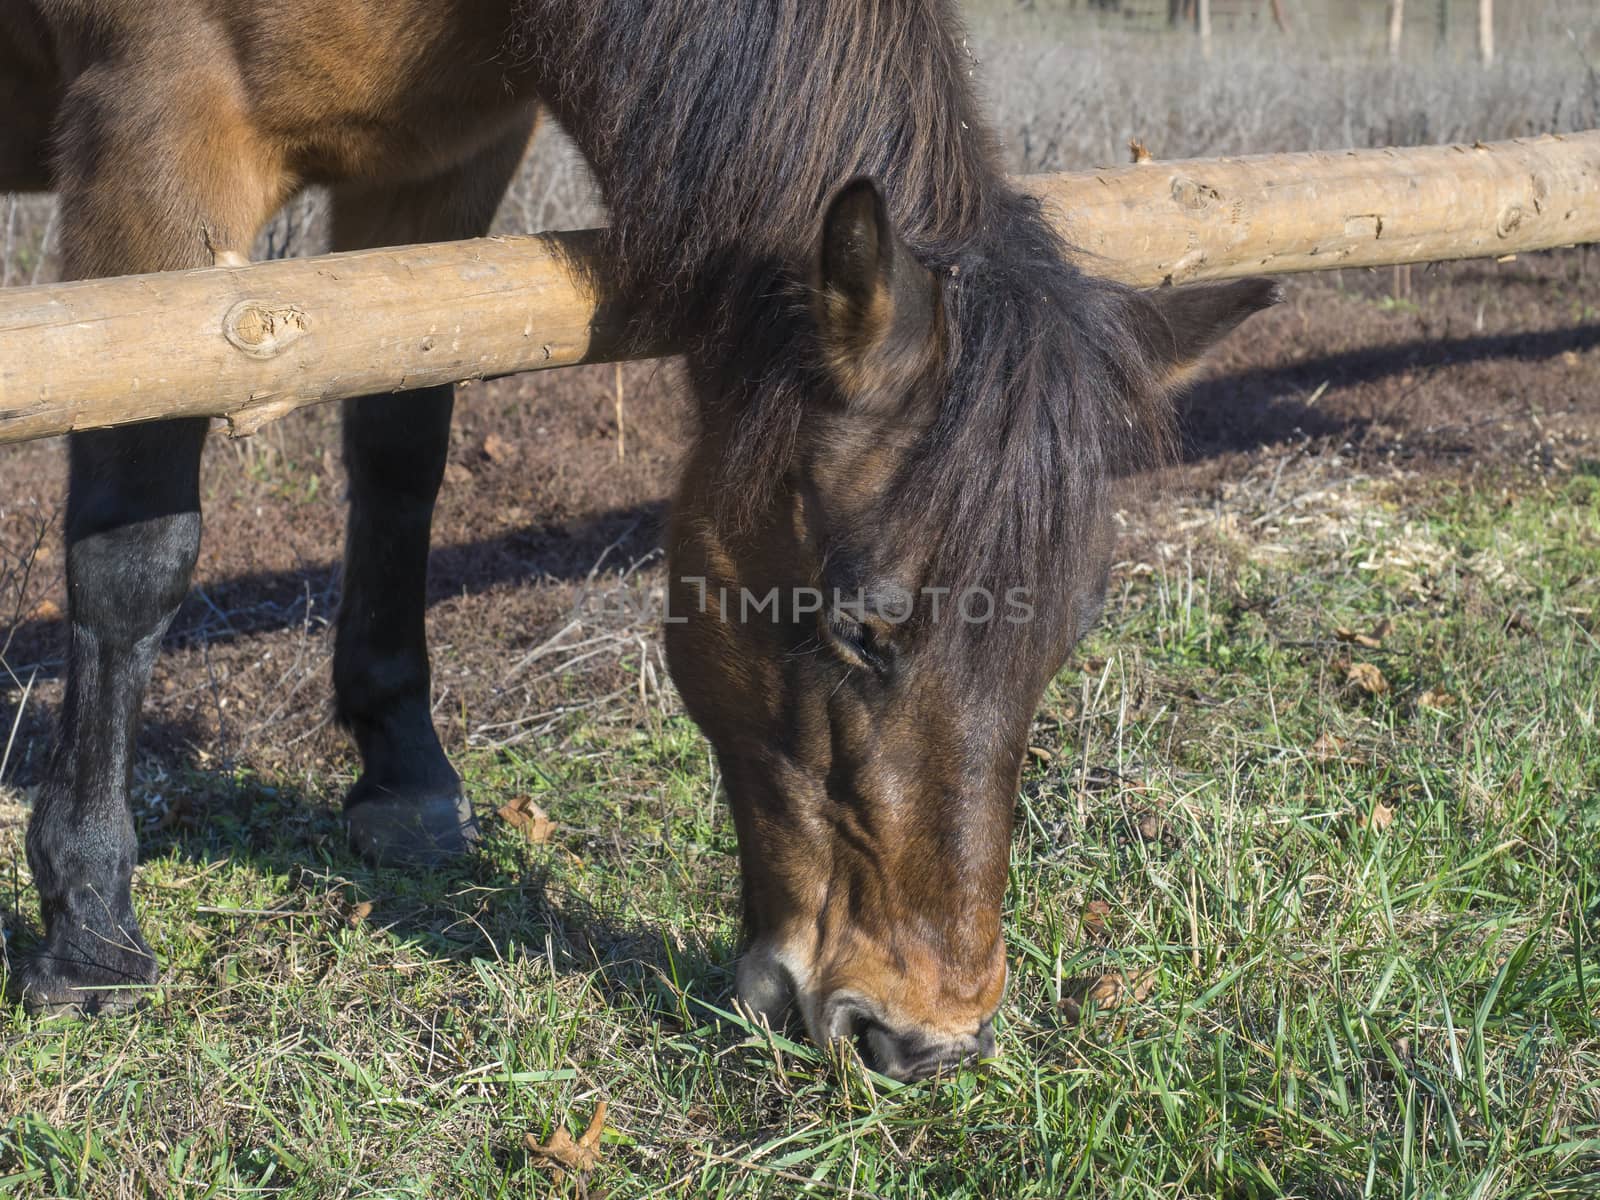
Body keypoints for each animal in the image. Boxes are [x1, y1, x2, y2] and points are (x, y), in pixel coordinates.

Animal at [0, 0, 1273, 1088]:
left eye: (1067, 633)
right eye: (858, 627)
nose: (921, 1038)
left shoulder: (437, 169)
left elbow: (402, 450)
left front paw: (404, 771)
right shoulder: (153, 150)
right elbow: (137, 536)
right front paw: (90, 922)